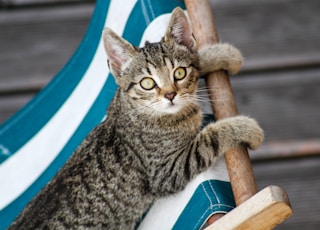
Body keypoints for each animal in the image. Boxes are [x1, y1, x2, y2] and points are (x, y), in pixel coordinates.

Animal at [10, 7, 264, 230]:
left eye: (179, 73)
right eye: (147, 83)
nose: (170, 94)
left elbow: (197, 60)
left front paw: (220, 54)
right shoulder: (165, 171)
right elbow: (210, 137)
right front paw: (244, 127)